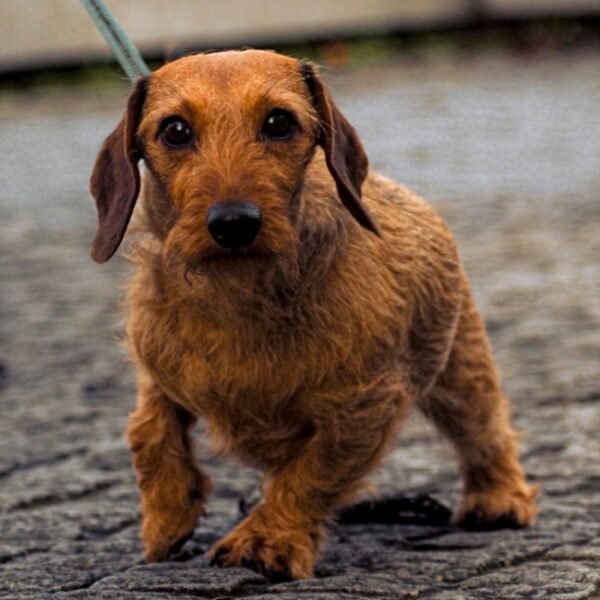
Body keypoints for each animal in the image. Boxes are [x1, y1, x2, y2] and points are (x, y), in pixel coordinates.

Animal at [89, 50, 540, 580]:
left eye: (279, 122)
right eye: (175, 130)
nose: (234, 223)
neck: (239, 293)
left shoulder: (362, 410)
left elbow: (307, 477)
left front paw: (266, 540)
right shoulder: (157, 370)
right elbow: (150, 431)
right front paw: (169, 513)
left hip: (461, 368)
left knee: (485, 431)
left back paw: (499, 498)